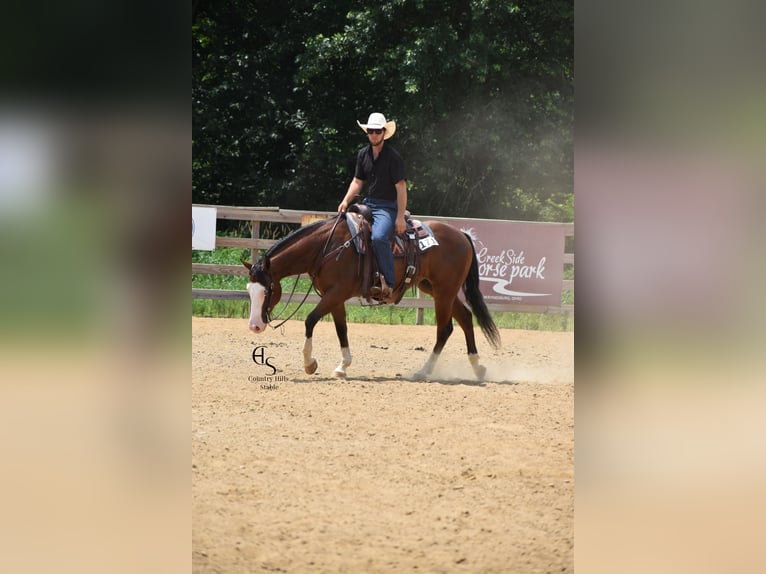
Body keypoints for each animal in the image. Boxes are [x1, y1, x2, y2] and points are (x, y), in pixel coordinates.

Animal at [242, 215, 501, 380]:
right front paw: (342, 366)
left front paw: (309, 364)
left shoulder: (337, 292)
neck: (328, 247)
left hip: (445, 290)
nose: (254, 326)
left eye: (266, 291)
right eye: (249, 290)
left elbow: (310, 320)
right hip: (436, 288)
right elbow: (341, 329)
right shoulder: (333, 296)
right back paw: (478, 367)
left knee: (445, 328)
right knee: (465, 318)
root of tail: (462, 234)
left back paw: (424, 371)